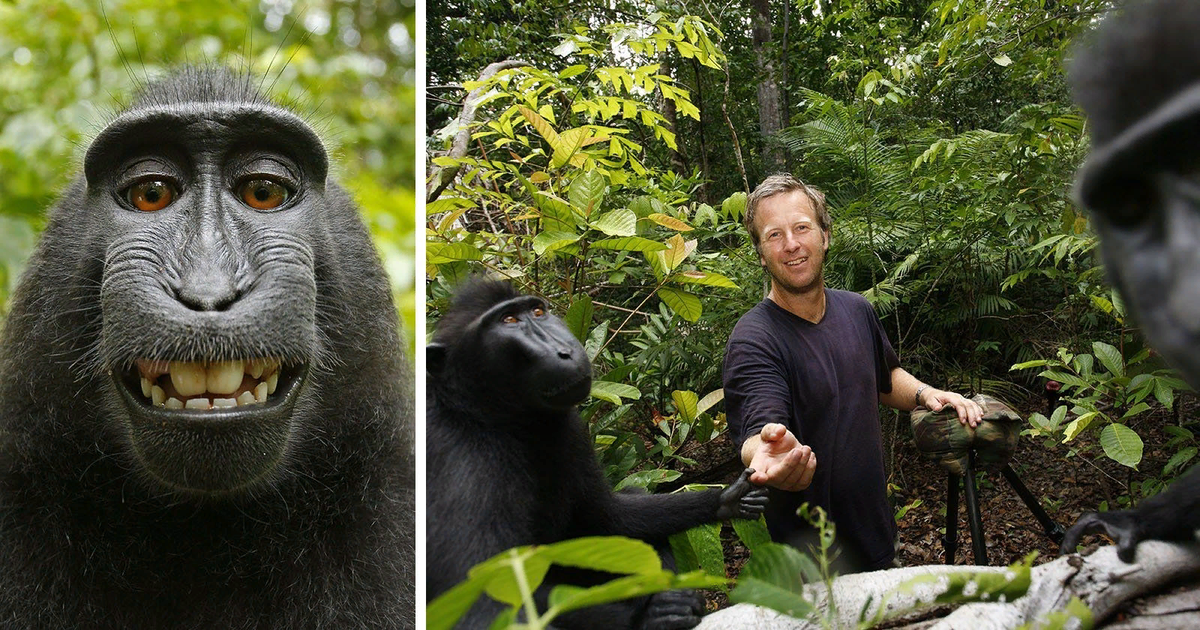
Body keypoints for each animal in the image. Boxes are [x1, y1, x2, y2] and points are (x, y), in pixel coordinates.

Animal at [429, 279, 768, 628]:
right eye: (508, 320)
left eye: (537, 312)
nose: (565, 350)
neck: (503, 419)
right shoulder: (463, 459)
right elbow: (482, 604)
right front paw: (650, 615)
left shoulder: (573, 429)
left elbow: (609, 519)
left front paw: (728, 499)